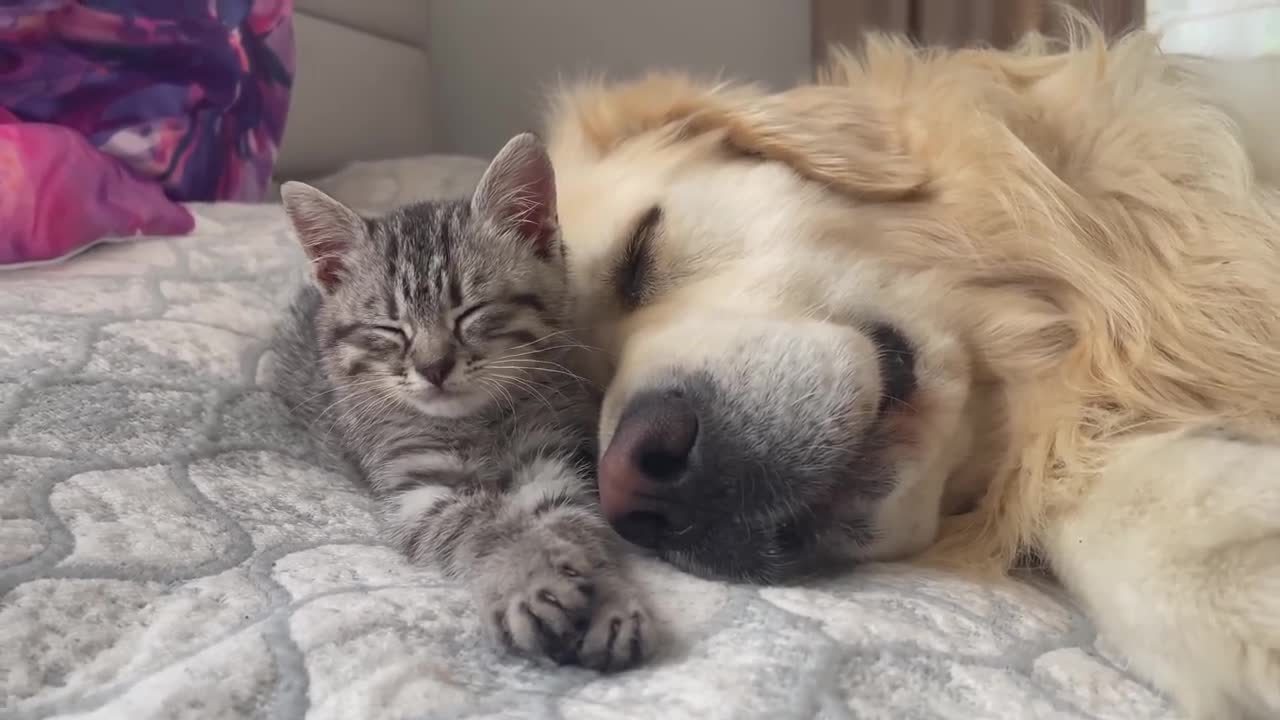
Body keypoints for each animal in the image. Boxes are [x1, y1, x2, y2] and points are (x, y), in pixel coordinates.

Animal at [267, 133, 650, 666]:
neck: (477, 422)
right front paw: (528, 574)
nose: (434, 367)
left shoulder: (553, 459)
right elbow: (481, 525)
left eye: (470, 312)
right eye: (391, 329)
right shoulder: (420, 489)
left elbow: (578, 525)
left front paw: (608, 594)